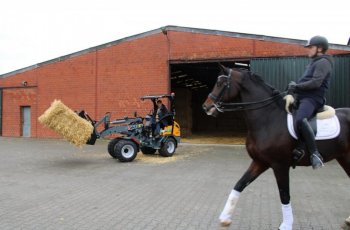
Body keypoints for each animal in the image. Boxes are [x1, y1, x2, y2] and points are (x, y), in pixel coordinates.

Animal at [202, 64, 350, 230]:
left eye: (220, 83)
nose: (206, 107)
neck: (268, 119)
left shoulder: (280, 165)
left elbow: (284, 195)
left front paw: (286, 225)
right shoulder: (260, 162)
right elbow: (239, 184)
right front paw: (225, 218)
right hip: (344, 157)